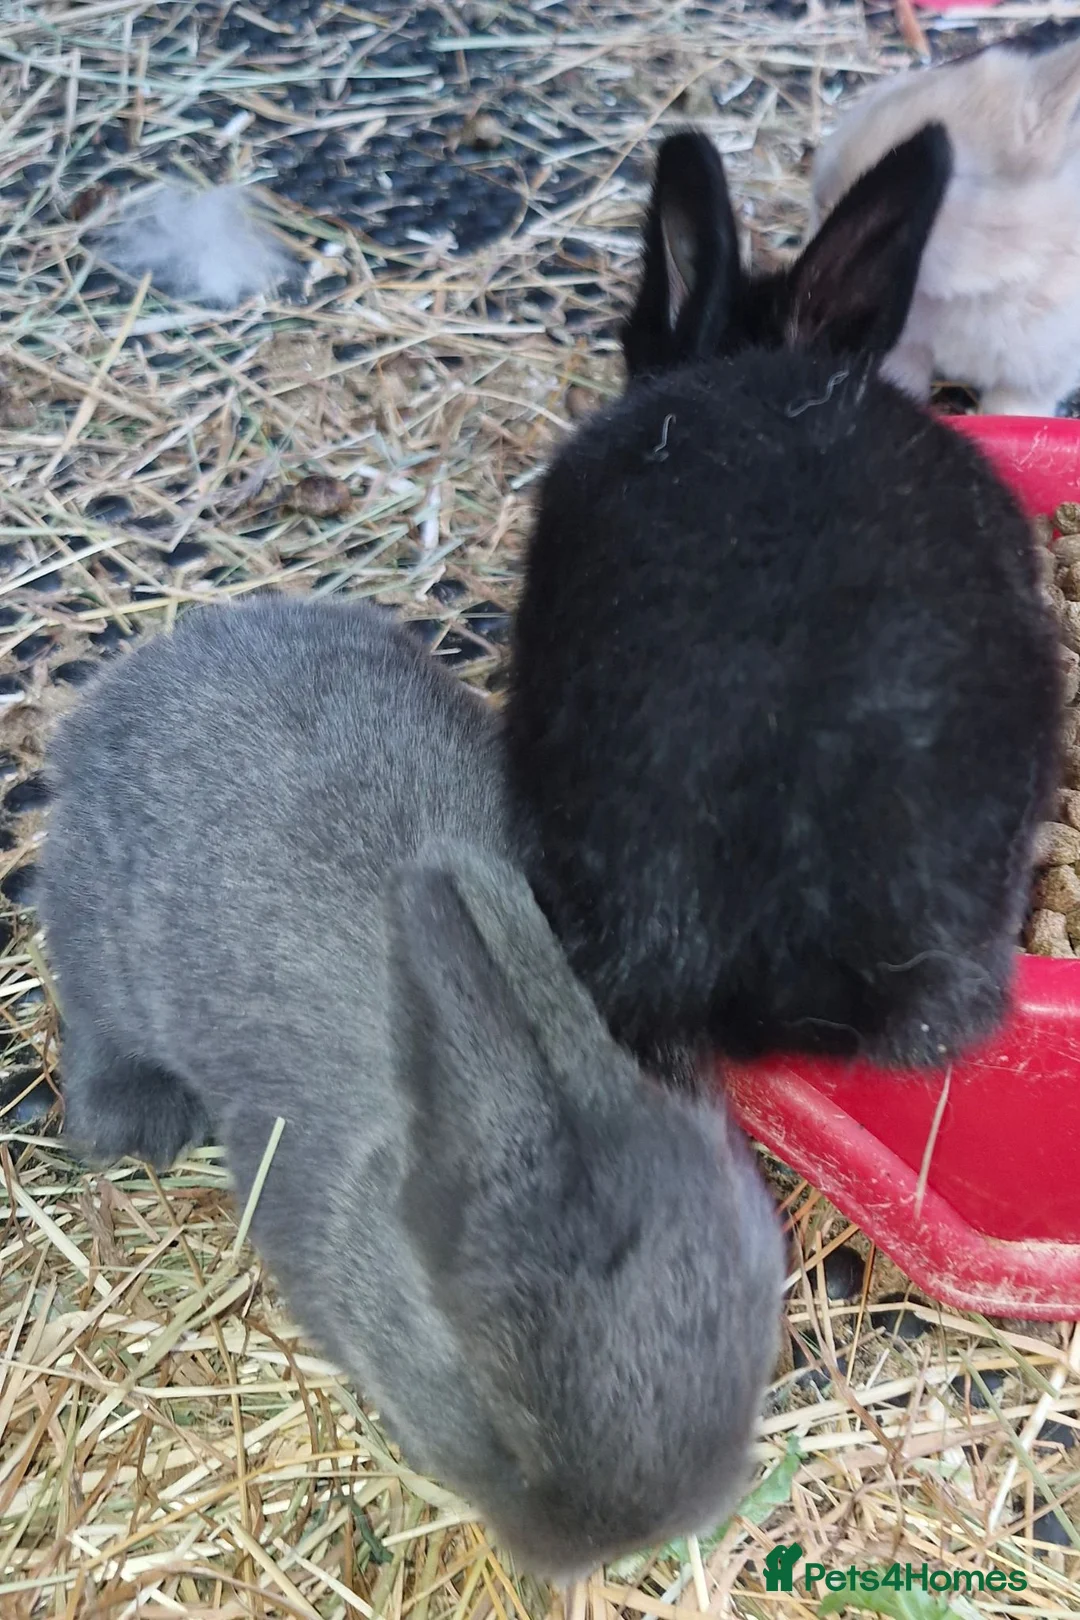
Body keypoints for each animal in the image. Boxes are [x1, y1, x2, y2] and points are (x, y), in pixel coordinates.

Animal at [38, 596, 784, 1581]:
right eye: (497, 1421)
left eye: (751, 1345)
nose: (606, 1551)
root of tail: (149, 669)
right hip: (99, 940)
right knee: (93, 1016)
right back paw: (136, 1121)